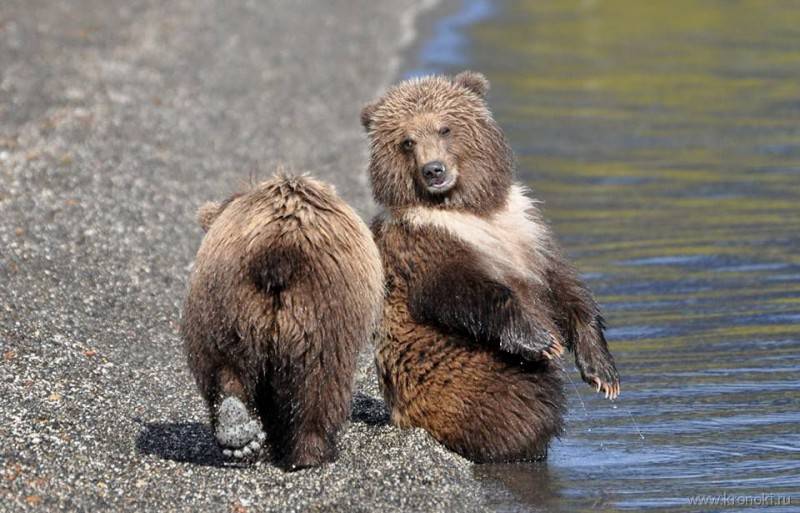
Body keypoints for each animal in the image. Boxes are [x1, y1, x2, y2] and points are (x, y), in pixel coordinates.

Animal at [183, 174, 382, 470]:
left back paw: (237, 431)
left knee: (223, 364)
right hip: (321, 310)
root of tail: (276, 252)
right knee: (320, 380)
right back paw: (311, 454)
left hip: (224, 303)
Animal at [360, 71, 620, 460]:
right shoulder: (423, 245)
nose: (433, 170)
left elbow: (564, 287)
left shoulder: (524, 228)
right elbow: (462, 290)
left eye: (444, 128)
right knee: (519, 404)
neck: (468, 209)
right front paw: (542, 340)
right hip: (471, 374)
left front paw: (603, 373)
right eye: (406, 141)